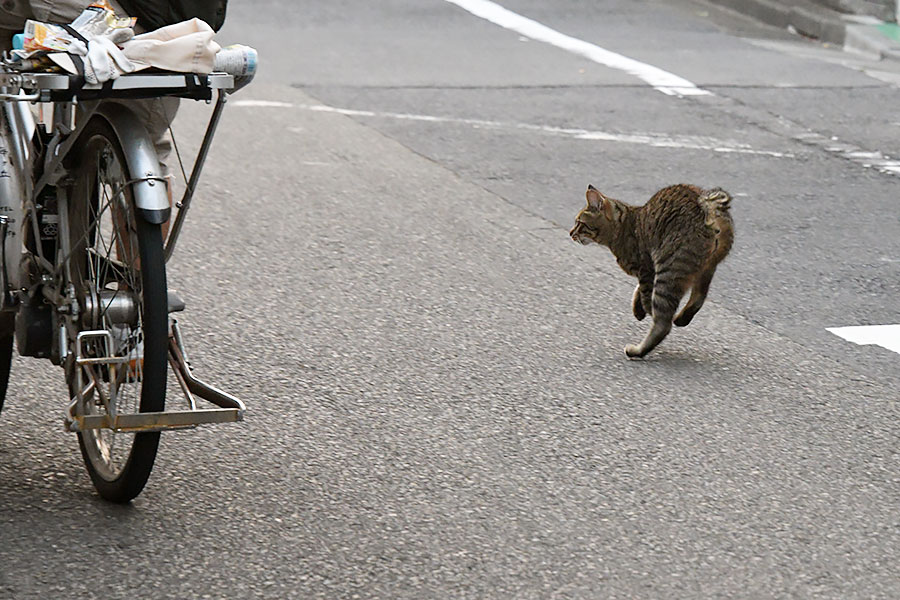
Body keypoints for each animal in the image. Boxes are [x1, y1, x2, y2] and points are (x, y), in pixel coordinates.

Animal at [572, 184, 736, 356]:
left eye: (579, 223)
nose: (571, 233)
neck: (624, 226)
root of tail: (706, 205)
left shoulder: (645, 269)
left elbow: (644, 293)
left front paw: (644, 308)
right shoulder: (648, 272)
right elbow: (639, 290)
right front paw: (638, 308)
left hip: (668, 272)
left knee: (663, 324)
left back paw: (637, 350)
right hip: (706, 269)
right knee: (698, 298)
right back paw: (681, 319)